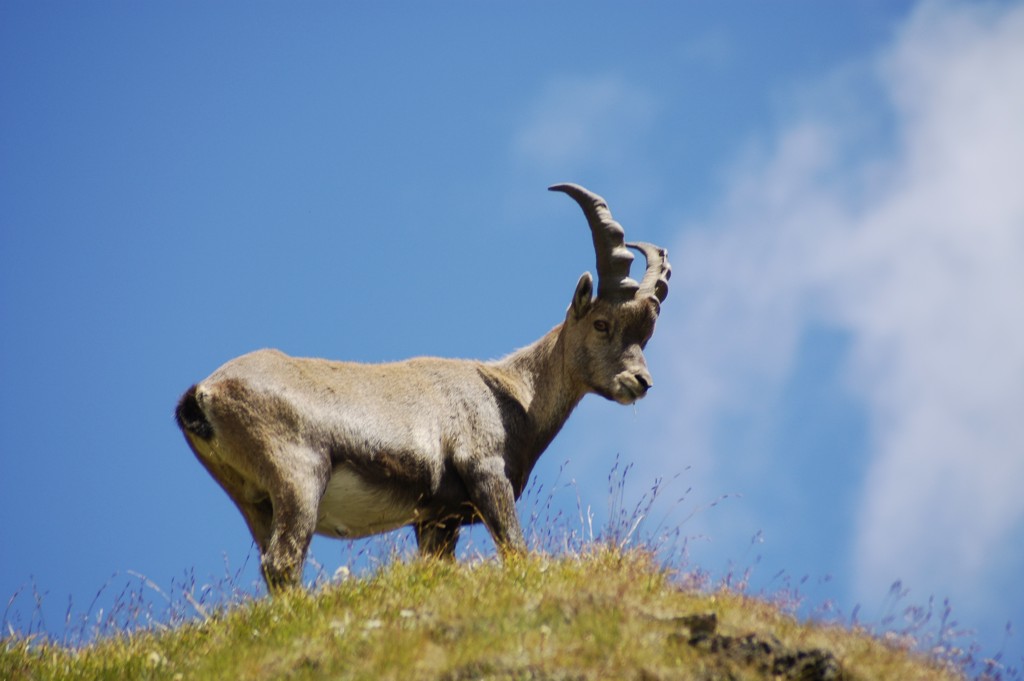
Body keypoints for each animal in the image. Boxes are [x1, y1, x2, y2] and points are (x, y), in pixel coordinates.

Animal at [175, 184, 671, 590]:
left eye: (646, 337)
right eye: (602, 323)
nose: (640, 382)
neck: (513, 395)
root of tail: (204, 393)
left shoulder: (436, 520)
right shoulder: (485, 473)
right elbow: (514, 548)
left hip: (252, 497)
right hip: (299, 475)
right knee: (282, 561)